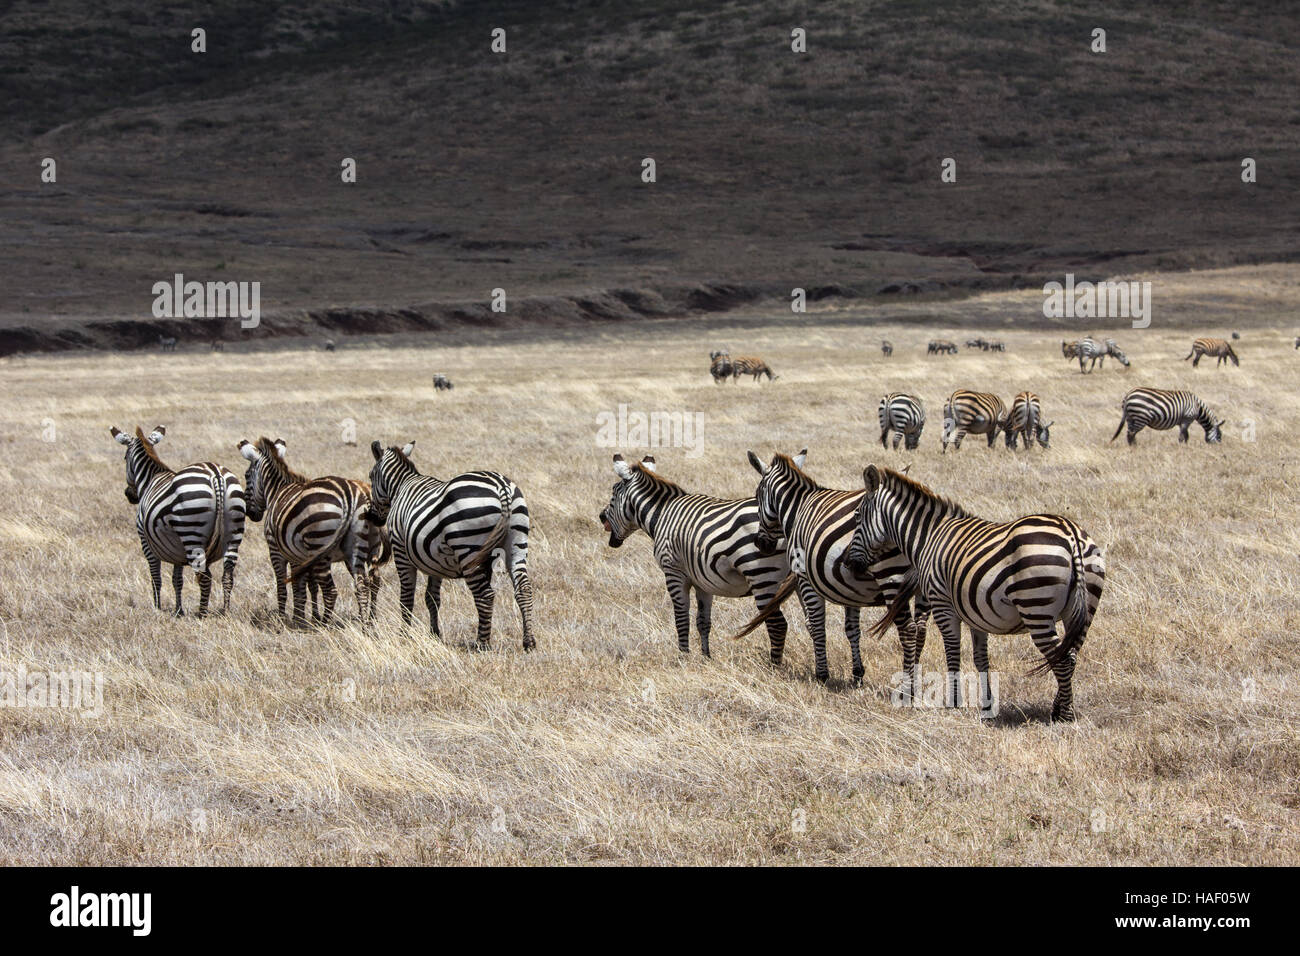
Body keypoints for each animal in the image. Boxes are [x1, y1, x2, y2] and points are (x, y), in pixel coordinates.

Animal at [110, 424, 244, 616]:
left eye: (124, 458)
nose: (129, 495)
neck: (150, 479)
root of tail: (216, 475)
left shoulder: (145, 542)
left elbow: (156, 577)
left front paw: (157, 607)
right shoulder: (176, 549)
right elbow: (177, 580)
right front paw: (178, 610)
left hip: (191, 533)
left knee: (205, 577)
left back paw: (202, 614)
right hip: (234, 532)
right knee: (227, 575)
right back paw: (225, 610)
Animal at [366, 442, 533, 650]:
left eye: (370, 476)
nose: (371, 517)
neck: (401, 487)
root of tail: (501, 487)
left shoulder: (400, 550)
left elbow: (406, 596)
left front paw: (404, 635)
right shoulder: (433, 559)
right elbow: (432, 598)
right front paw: (434, 634)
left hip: (468, 549)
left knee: (485, 595)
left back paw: (482, 644)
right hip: (516, 542)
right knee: (523, 589)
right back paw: (528, 641)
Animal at [598, 455, 811, 665]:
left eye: (613, 493)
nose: (600, 517)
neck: (662, 515)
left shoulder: (673, 572)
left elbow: (681, 618)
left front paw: (683, 657)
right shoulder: (703, 581)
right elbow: (703, 622)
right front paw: (706, 657)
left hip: (761, 574)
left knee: (778, 624)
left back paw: (774, 667)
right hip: (800, 577)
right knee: (811, 622)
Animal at [738, 447, 920, 686]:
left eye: (758, 495)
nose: (761, 544)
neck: (797, 509)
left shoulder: (804, 577)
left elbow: (816, 625)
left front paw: (822, 674)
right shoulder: (851, 589)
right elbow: (852, 630)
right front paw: (857, 674)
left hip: (891, 576)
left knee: (908, 630)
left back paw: (909, 685)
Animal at [847, 468, 1102, 723]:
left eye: (857, 516)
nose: (849, 564)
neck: (929, 537)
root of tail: (1071, 535)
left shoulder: (942, 605)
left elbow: (953, 653)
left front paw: (953, 702)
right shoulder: (975, 614)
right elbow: (981, 660)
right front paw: (987, 705)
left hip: (1035, 608)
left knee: (1062, 659)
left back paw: (1064, 716)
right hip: (1084, 610)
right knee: (1070, 654)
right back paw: (1059, 708)